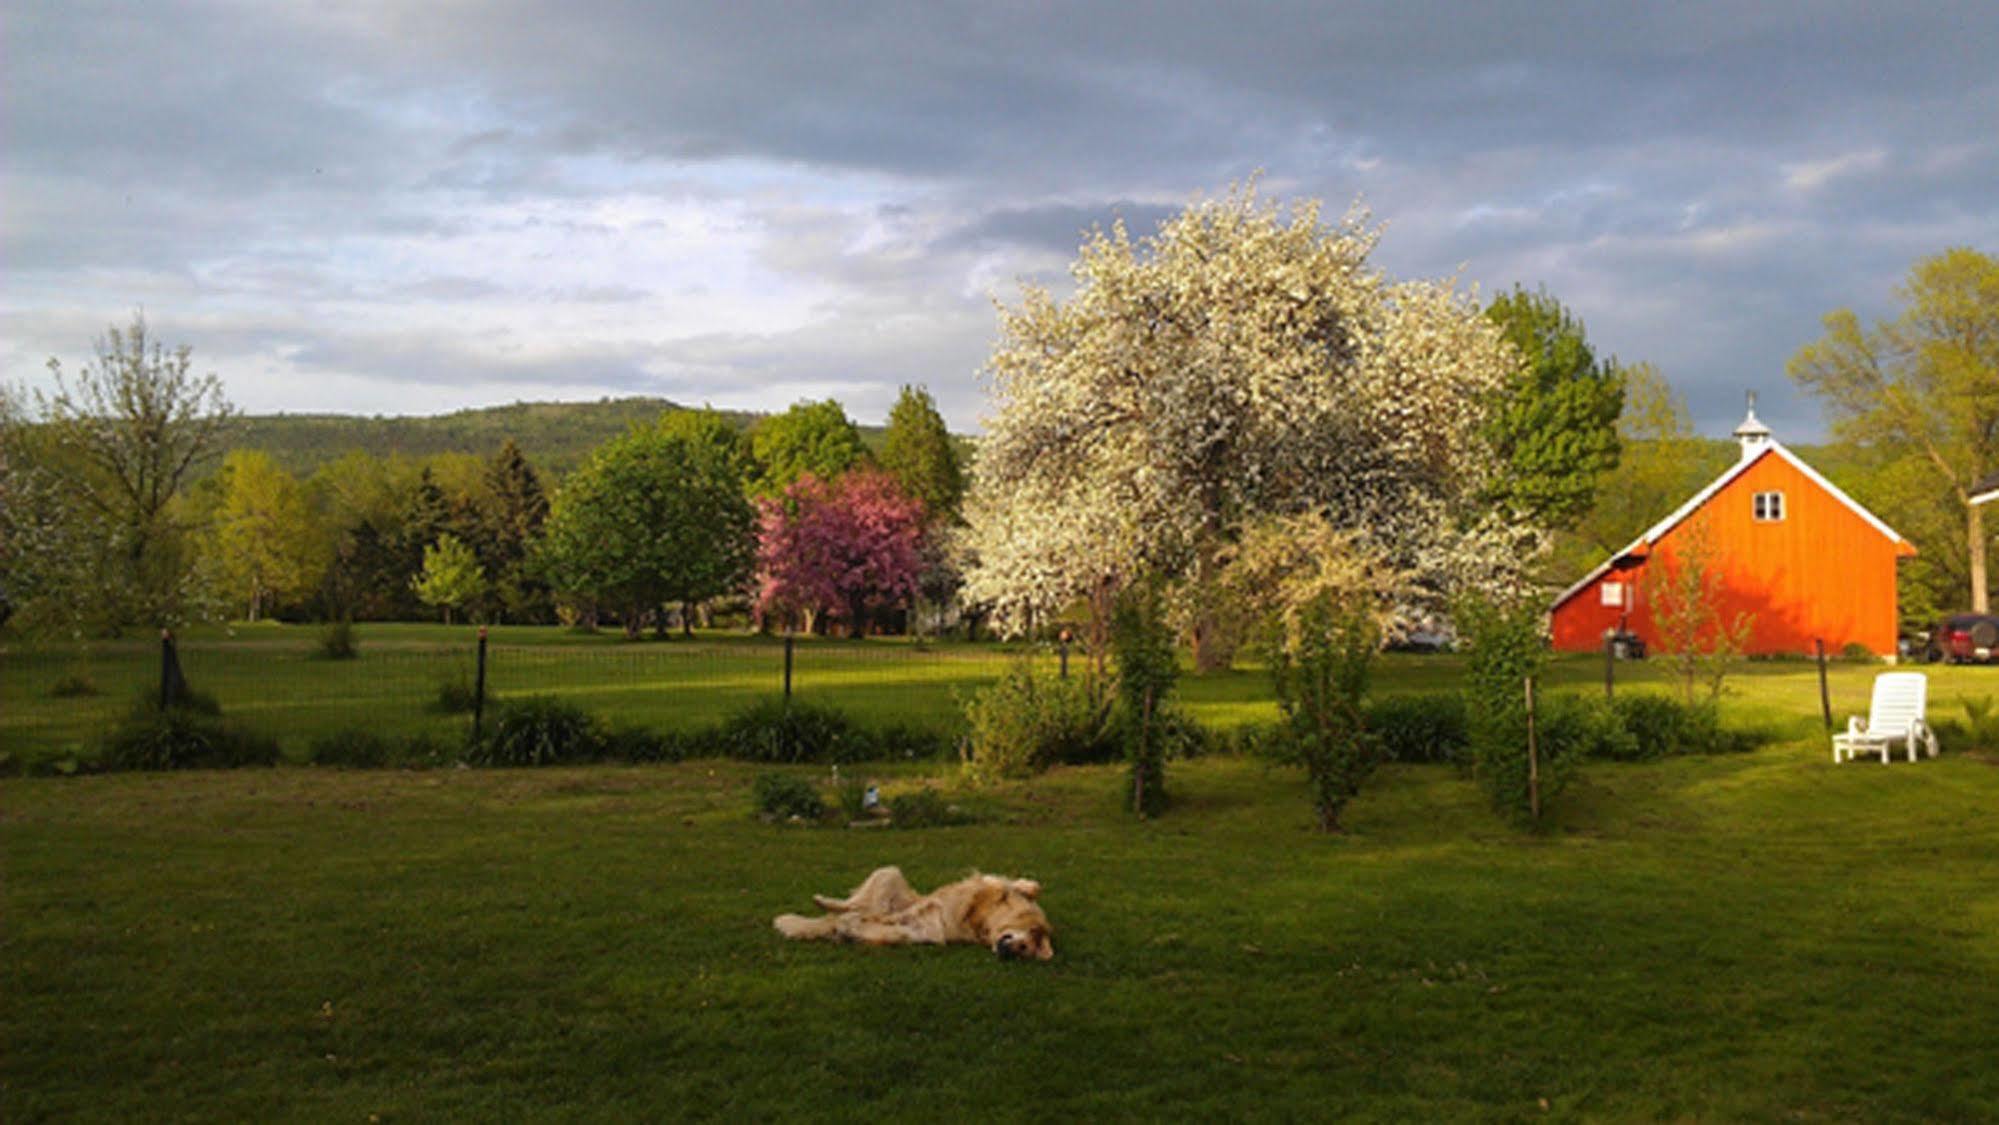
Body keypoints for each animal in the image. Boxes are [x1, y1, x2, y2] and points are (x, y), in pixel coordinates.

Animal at [775, 867, 1063, 963]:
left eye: (1023, 951)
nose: (1006, 951)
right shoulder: (999, 890)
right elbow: (1015, 886)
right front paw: (1024, 886)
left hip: (905, 931)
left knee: (854, 919)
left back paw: (845, 929)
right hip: (889, 874)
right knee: (854, 905)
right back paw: (825, 903)